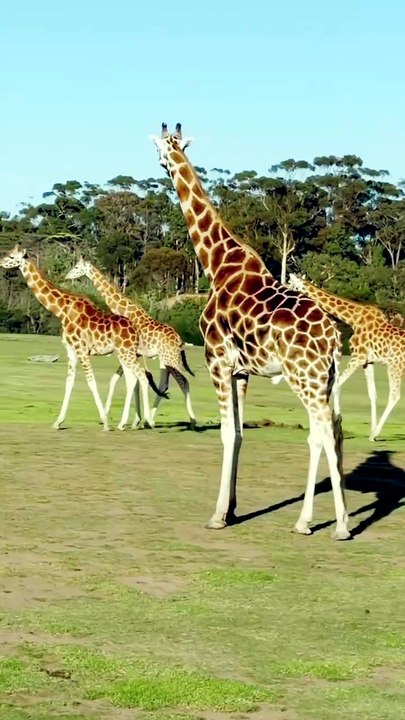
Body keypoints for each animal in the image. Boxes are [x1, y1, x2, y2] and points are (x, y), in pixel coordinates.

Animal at [0, 244, 167, 430]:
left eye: (12, 256)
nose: (1, 262)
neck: (61, 310)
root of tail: (135, 331)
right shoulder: (71, 350)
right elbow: (69, 383)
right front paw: (58, 422)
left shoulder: (81, 349)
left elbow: (91, 382)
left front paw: (105, 422)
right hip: (126, 354)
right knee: (133, 379)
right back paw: (128, 422)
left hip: (127, 353)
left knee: (142, 377)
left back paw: (147, 421)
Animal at [65, 258, 196, 429]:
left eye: (76, 267)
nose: (67, 276)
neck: (126, 311)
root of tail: (180, 341)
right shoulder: (134, 354)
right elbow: (122, 380)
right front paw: (131, 419)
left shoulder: (128, 352)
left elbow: (132, 381)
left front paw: (129, 420)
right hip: (165, 361)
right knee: (164, 384)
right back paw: (151, 418)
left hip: (171, 359)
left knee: (184, 382)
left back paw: (191, 421)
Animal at [150, 123, 350, 540]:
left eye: (160, 153)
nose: (162, 165)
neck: (216, 263)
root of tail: (333, 339)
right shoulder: (242, 371)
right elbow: (240, 433)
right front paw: (232, 509)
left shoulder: (216, 360)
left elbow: (227, 433)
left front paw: (216, 516)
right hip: (328, 379)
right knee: (332, 431)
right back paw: (316, 520)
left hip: (304, 378)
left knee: (322, 432)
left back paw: (332, 525)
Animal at [289, 274, 405, 441]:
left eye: (291, 283)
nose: (285, 290)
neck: (353, 319)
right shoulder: (367, 361)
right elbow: (372, 394)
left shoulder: (357, 357)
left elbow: (336, 386)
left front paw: (335, 423)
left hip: (395, 366)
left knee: (394, 396)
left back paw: (376, 433)